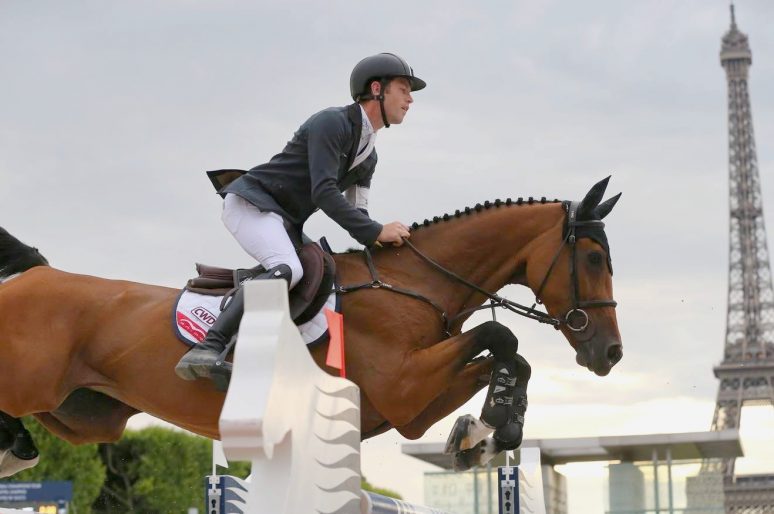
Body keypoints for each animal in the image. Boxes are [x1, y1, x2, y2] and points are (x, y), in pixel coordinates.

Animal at [0, 177, 620, 476]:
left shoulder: (409, 408)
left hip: (82, 416)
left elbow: (506, 356)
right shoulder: (403, 384)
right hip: (32, 387)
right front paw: (494, 425)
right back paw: (14, 451)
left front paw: (483, 432)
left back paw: (16, 450)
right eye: (593, 259)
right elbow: (500, 338)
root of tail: (30, 277)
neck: (414, 283)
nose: (611, 354)